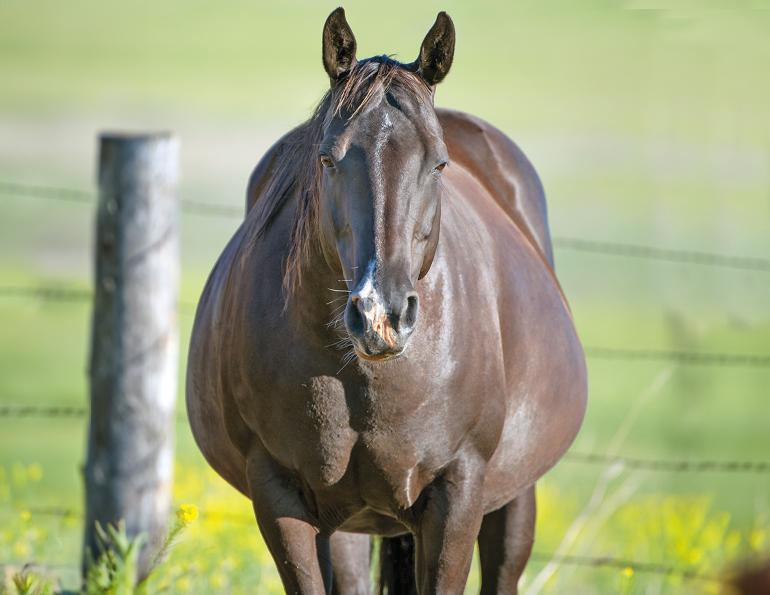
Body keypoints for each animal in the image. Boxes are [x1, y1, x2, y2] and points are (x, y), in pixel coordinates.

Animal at [186, 8, 587, 594]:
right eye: (328, 158)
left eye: (439, 164)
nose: (382, 315)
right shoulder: (280, 495)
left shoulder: (457, 493)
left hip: (513, 500)